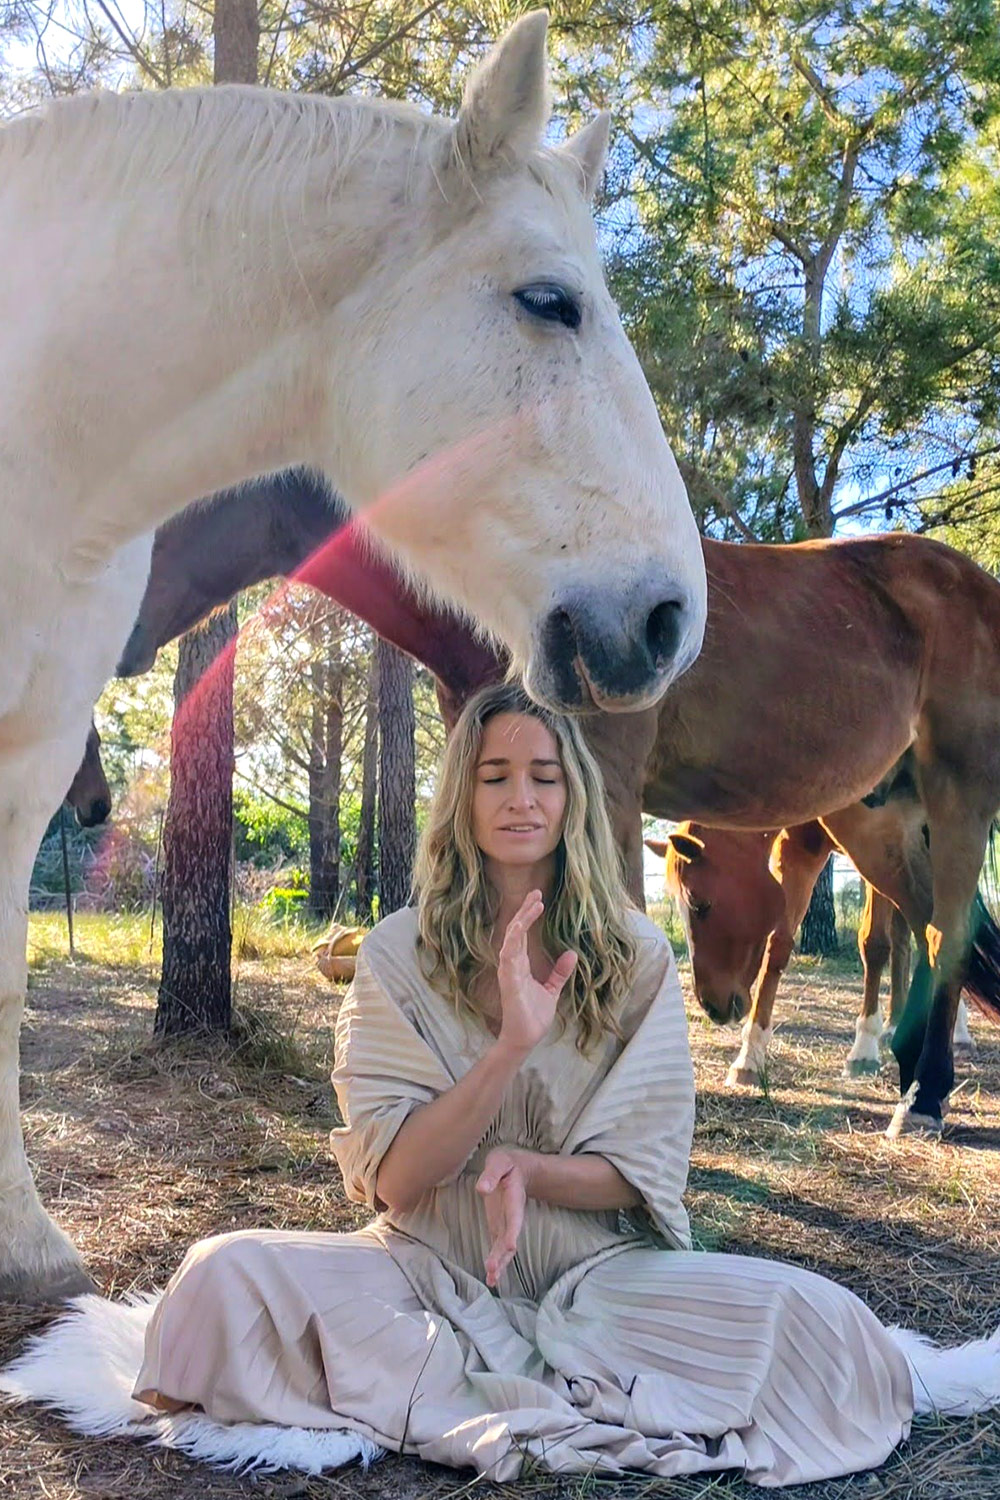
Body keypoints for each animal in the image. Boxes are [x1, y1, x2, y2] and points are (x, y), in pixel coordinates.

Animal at [109, 479, 1000, 1142]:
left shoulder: (605, 783)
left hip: (955, 790)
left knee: (943, 933)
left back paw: (922, 1100)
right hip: (884, 818)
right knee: (923, 930)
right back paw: (906, 1071)